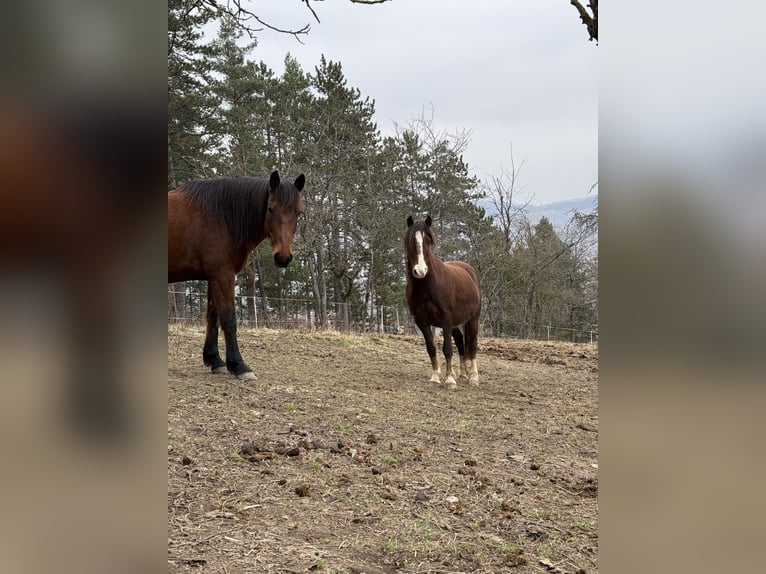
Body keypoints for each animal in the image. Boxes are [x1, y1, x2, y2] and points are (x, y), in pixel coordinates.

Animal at [168, 170, 305, 380]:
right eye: (271, 209)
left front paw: (215, 360)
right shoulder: (222, 274)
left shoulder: (214, 276)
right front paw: (239, 366)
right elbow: (229, 319)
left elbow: (213, 316)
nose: (283, 257)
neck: (221, 217)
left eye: (298, 212)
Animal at [404, 215, 482, 389]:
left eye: (428, 240)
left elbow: (447, 349)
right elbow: (431, 348)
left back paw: (473, 378)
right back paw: (463, 374)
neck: (428, 286)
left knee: (472, 345)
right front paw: (436, 377)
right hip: (455, 325)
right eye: (411, 240)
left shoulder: (446, 320)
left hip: (473, 320)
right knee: (460, 343)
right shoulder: (422, 322)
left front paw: (450, 380)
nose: (420, 271)